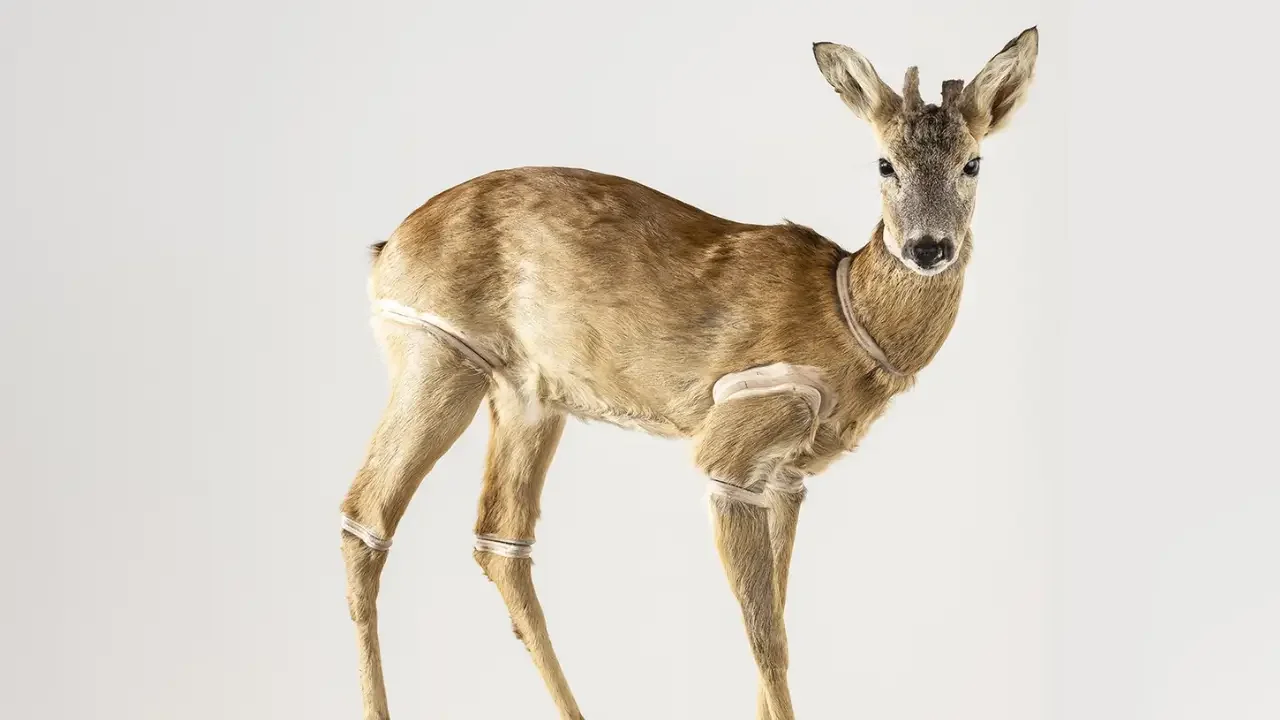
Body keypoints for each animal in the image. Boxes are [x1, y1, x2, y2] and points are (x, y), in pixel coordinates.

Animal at [339, 26, 1039, 720]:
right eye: (884, 163)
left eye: (973, 162)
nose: (928, 247)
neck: (849, 314)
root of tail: (385, 250)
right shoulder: (735, 445)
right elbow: (765, 637)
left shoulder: (787, 475)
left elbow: (780, 625)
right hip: (437, 352)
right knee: (366, 514)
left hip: (528, 393)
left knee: (500, 538)